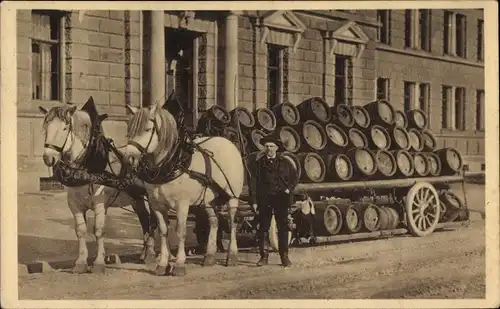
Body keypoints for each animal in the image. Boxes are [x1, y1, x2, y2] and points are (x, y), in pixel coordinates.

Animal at [39, 97, 160, 272]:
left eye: (64, 128)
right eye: (45, 128)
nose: (48, 158)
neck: (87, 165)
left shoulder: (100, 203)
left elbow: (98, 230)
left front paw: (99, 262)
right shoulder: (74, 204)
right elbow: (81, 231)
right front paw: (81, 263)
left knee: (153, 222)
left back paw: (151, 254)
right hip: (136, 197)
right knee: (145, 221)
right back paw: (144, 254)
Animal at [123, 102, 244, 276]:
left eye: (147, 129)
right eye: (130, 130)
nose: (128, 158)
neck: (172, 163)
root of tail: (227, 142)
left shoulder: (182, 204)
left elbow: (181, 231)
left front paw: (179, 264)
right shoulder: (156, 204)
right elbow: (163, 231)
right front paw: (162, 264)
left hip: (232, 196)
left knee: (232, 221)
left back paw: (232, 255)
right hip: (207, 200)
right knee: (214, 222)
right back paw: (209, 256)